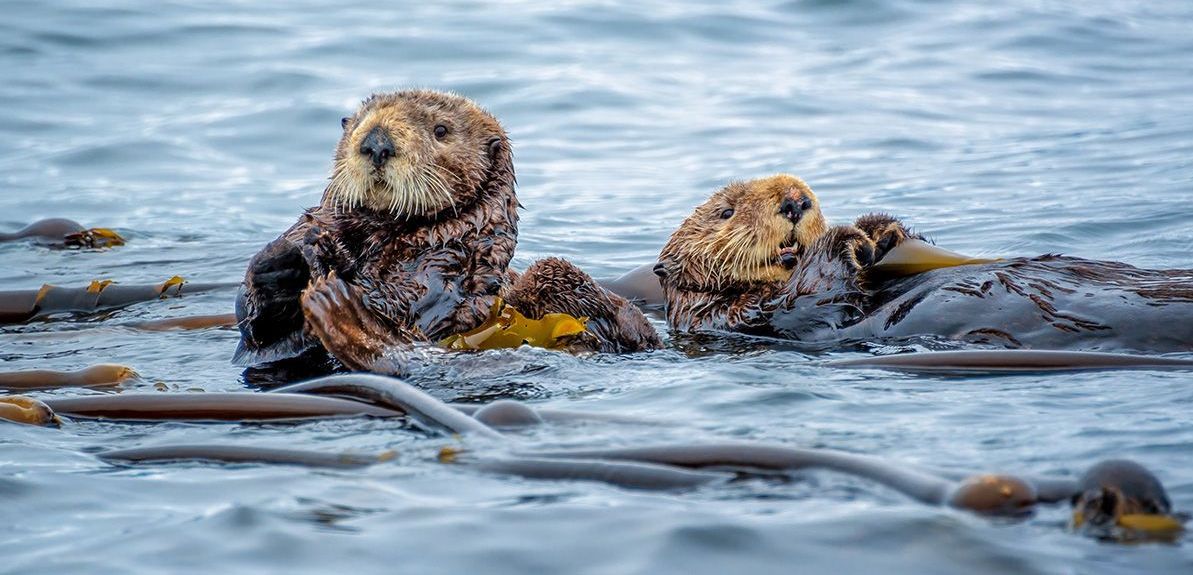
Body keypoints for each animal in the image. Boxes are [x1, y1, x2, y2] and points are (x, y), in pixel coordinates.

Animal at [236, 90, 660, 372]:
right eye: (356, 124)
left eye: (441, 130)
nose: (376, 142)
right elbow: (256, 327)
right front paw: (284, 259)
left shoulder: (444, 267)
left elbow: (402, 304)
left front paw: (329, 269)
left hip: (558, 279)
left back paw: (338, 310)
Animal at [656, 176, 1193, 352]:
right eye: (726, 212)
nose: (795, 199)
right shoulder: (747, 319)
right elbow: (811, 302)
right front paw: (846, 236)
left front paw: (881, 230)